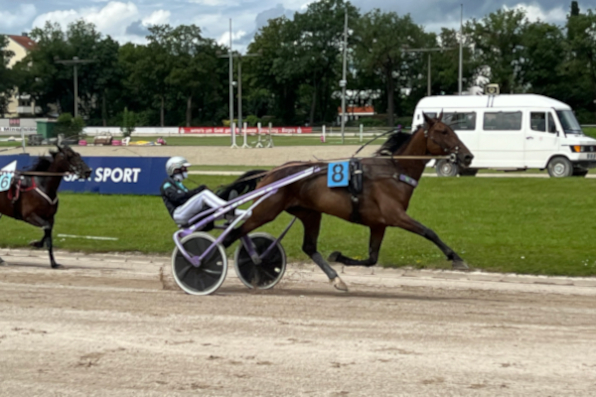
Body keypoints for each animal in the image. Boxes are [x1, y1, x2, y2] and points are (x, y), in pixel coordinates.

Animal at [224, 113, 474, 290]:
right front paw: (457, 259)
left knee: (309, 247)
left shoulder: (378, 224)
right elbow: (429, 232)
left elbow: (372, 259)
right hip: (265, 211)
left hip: (310, 213)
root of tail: (270, 173)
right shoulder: (396, 216)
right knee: (233, 234)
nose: (468, 156)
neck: (393, 171)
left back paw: (336, 279)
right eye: (443, 131)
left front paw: (339, 257)